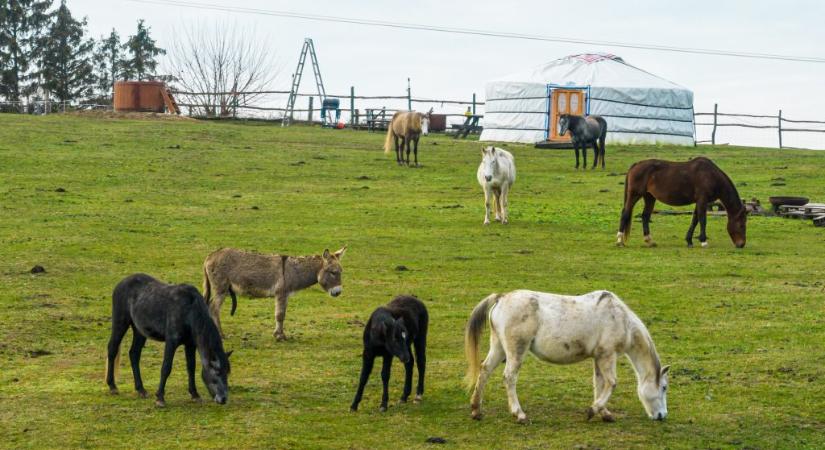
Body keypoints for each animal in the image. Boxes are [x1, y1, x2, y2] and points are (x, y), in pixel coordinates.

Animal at [104, 272, 232, 406]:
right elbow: (166, 367)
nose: (223, 399)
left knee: (134, 354)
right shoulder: (171, 342)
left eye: (227, 372)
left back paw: (141, 389)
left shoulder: (190, 344)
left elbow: (191, 367)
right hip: (120, 323)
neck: (189, 310)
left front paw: (194, 394)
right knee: (112, 349)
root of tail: (121, 283)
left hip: (139, 331)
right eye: (217, 372)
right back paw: (112, 386)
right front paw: (160, 398)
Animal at [464, 290, 668, 424]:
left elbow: (599, 383)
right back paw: (519, 414)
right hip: (516, 350)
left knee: (485, 370)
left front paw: (604, 413)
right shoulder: (607, 355)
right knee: (509, 377)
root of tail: (502, 297)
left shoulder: (598, 358)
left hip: (498, 347)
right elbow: (611, 383)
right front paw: (592, 411)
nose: (662, 416)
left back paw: (476, 410)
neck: (620, 318)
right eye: (664, 387)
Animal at [616, 157, 748, 250]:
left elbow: (695, 220)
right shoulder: (702, 200)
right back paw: (619, 241)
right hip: (635, 195)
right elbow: (702, 220)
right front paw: (703, 241)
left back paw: (649, 241)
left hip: (649, 197)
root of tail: (636, 165)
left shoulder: (699, 202)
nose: (741, 244)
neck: (711, 175)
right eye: (742, 225)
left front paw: (689, 241)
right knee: (625, 214)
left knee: (645, 216)